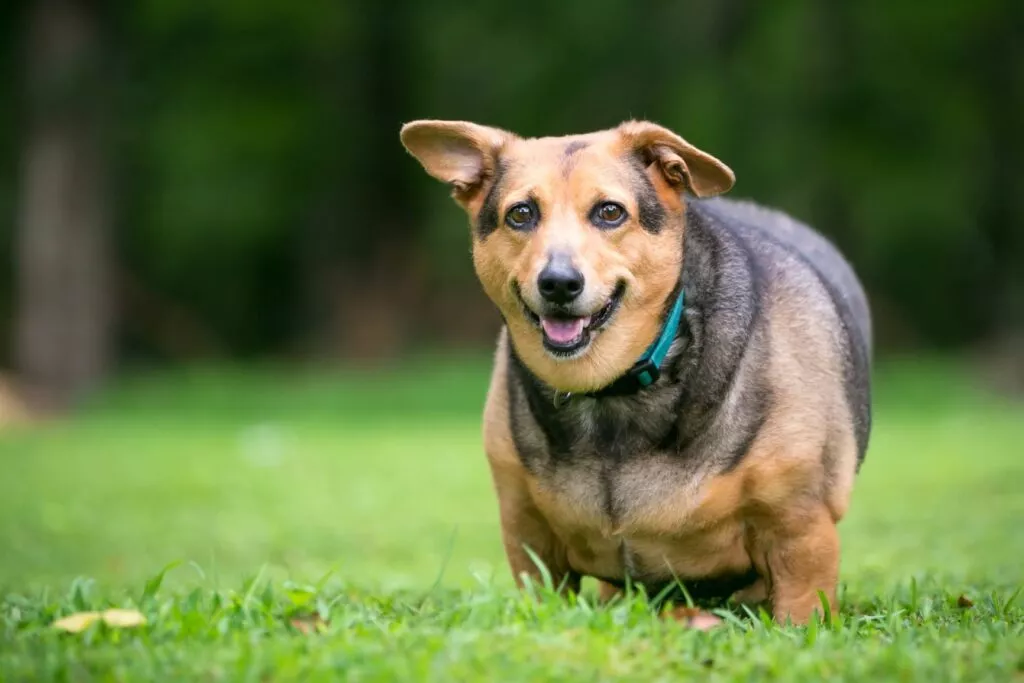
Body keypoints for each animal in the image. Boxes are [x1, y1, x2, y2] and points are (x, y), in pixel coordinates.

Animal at [399, 118, 872, 626]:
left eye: (610, 212)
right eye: (521, 214)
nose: (559, 283)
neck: (610, 391)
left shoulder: (799, 534)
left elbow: (800, 615)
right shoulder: (529, 535)